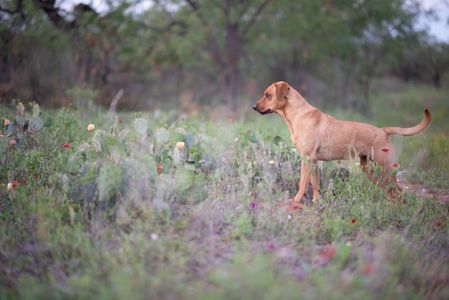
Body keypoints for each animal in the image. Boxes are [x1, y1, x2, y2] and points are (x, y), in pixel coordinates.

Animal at [252, 81, 430, 205]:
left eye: (267, 95)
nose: (253, 107)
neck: (298, 114)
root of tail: (383, 131)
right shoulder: (313, 162)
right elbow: (315, 185)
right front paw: (316, 203)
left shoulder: (307, 159)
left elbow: (302, 184)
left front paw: (295, 201)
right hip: (370, 170)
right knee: (390, 192)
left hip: (385, 168)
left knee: (398, 192)